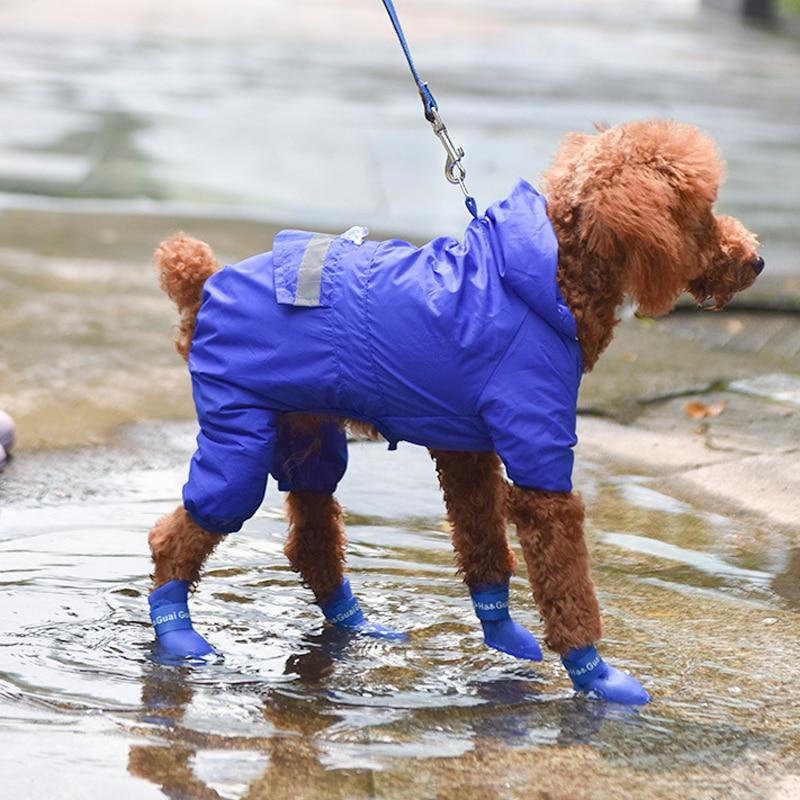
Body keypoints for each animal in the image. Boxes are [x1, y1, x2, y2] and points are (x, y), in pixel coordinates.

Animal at [145, 115, 764, 704]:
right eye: (699, 212)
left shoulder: (467, 445)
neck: (549, 277)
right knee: (178, 535)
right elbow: (563, 580)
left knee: (312, 538)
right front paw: (595, 675)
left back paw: (359, 628)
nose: (756, 261)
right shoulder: (538, 458)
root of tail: (203, 288)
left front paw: (504, 636)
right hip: (240, 432)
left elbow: (483, 542)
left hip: (304, 430)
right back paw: (178, 636)